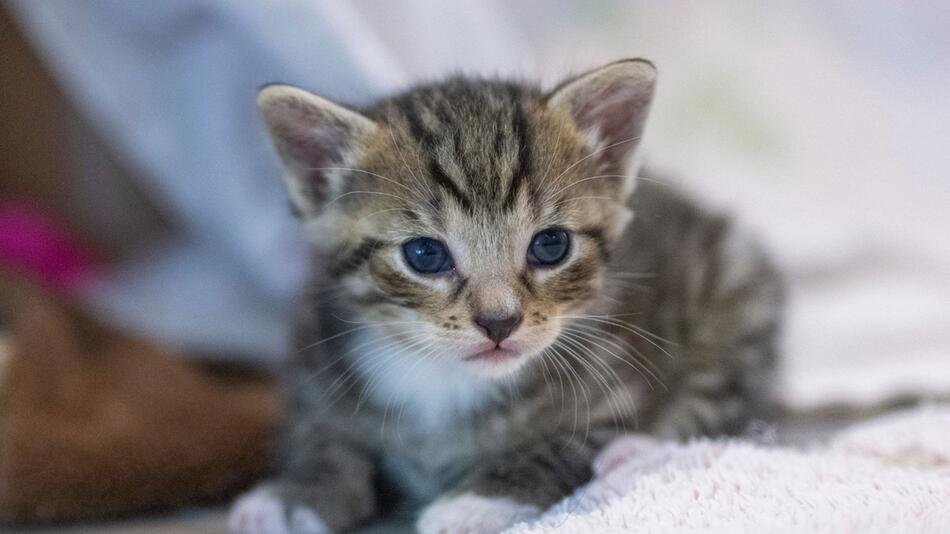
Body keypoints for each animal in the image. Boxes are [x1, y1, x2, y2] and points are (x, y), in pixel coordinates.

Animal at [229, 59, 780, 534]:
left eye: (551, 245)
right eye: (425, 254)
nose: (500, 321)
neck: (442, 382)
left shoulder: (620, 382)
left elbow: (559, 446)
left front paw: (477, 502)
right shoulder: (312, 368)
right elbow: (320, 439)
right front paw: (296, 496)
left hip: (737, 291)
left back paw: (633, 459)